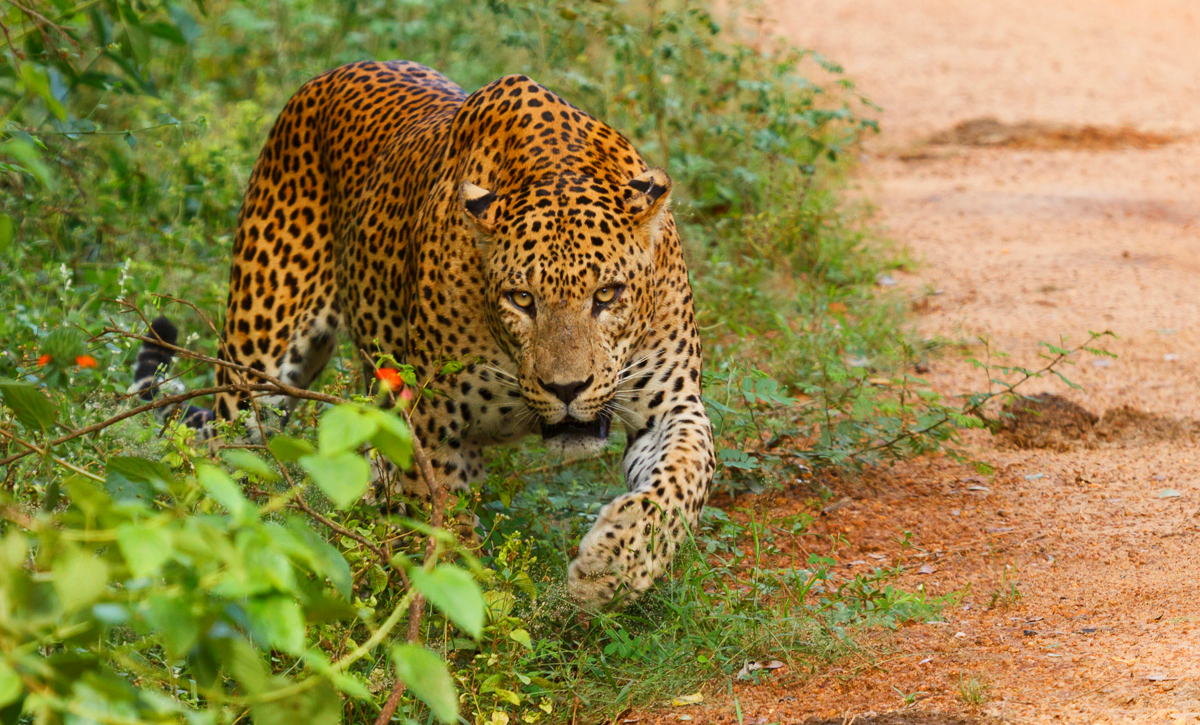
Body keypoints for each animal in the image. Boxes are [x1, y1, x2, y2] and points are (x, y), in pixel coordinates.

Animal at [133, 59, 710, 609]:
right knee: (221, 459)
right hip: (255, 368)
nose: (565, 389)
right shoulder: (432, 425)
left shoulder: (671, 403)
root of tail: (325, 78)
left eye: (607, 294)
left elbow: (683, 479)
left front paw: (613, 566)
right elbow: (447, 533)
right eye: (522, 299)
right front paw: (473, 615)